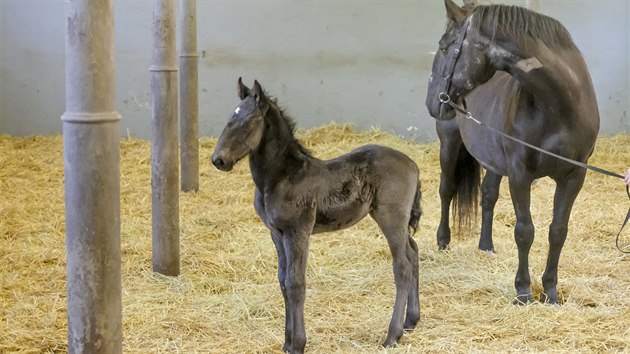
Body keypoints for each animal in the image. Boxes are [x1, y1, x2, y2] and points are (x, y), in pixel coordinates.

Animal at [212, 79, 424, 352]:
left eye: (247, 123)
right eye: (230, 118)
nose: (218, 160)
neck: (281, 177)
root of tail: (412, 164)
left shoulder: (298, 231)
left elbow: (295, 283)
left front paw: (298, 344)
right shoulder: (277, 234)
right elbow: (283, 281)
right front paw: (287, 342)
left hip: (391, 217)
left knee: (402, 265)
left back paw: (392, 336)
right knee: (414, 252)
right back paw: (411, 321)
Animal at [428, 0, 600, 304]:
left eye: (445, 47)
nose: (432, 101)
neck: (559, 106)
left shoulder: (573, 176)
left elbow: (558, 231)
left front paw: (550, 292)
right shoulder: (520, 173)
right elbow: (524, 231)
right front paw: (523, 291)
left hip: (493, 159)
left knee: (488, 195)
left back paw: (486, 246)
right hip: (449, 143)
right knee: (446, 190)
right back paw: (443, 241)